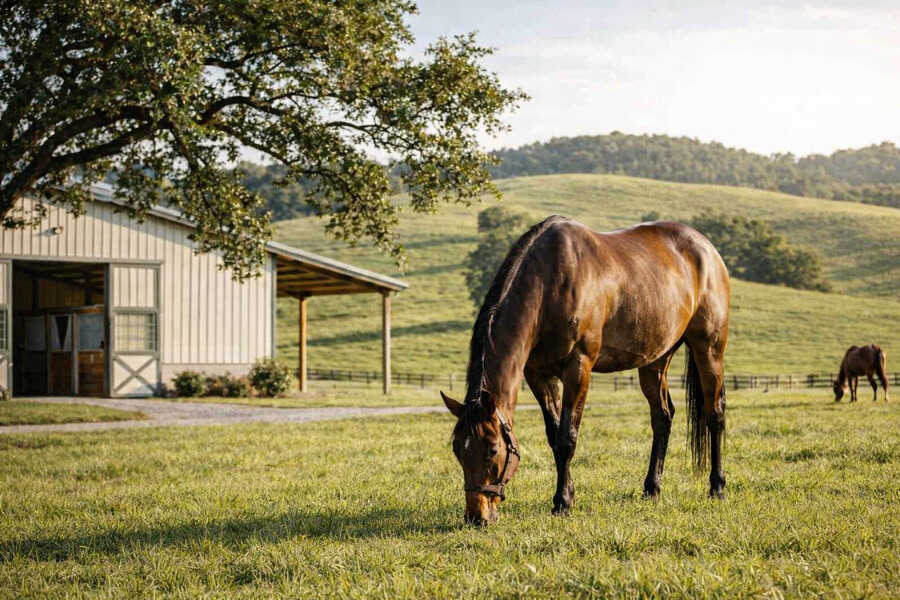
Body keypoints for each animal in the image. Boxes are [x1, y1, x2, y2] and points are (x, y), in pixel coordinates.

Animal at [441, 216, 731, 525]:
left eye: (492, 449)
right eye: (457, 449)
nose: (476, 517)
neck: (549, 283)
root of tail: (706, 248)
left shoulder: (578, 368)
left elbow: (567, 438)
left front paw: (563, 502)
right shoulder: (538, 375)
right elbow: (554, 436)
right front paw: (567, 493)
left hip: (709, 349)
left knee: (714, 415)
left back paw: (717, 486)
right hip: (655, 360)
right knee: (662, 417)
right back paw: (652, 488)